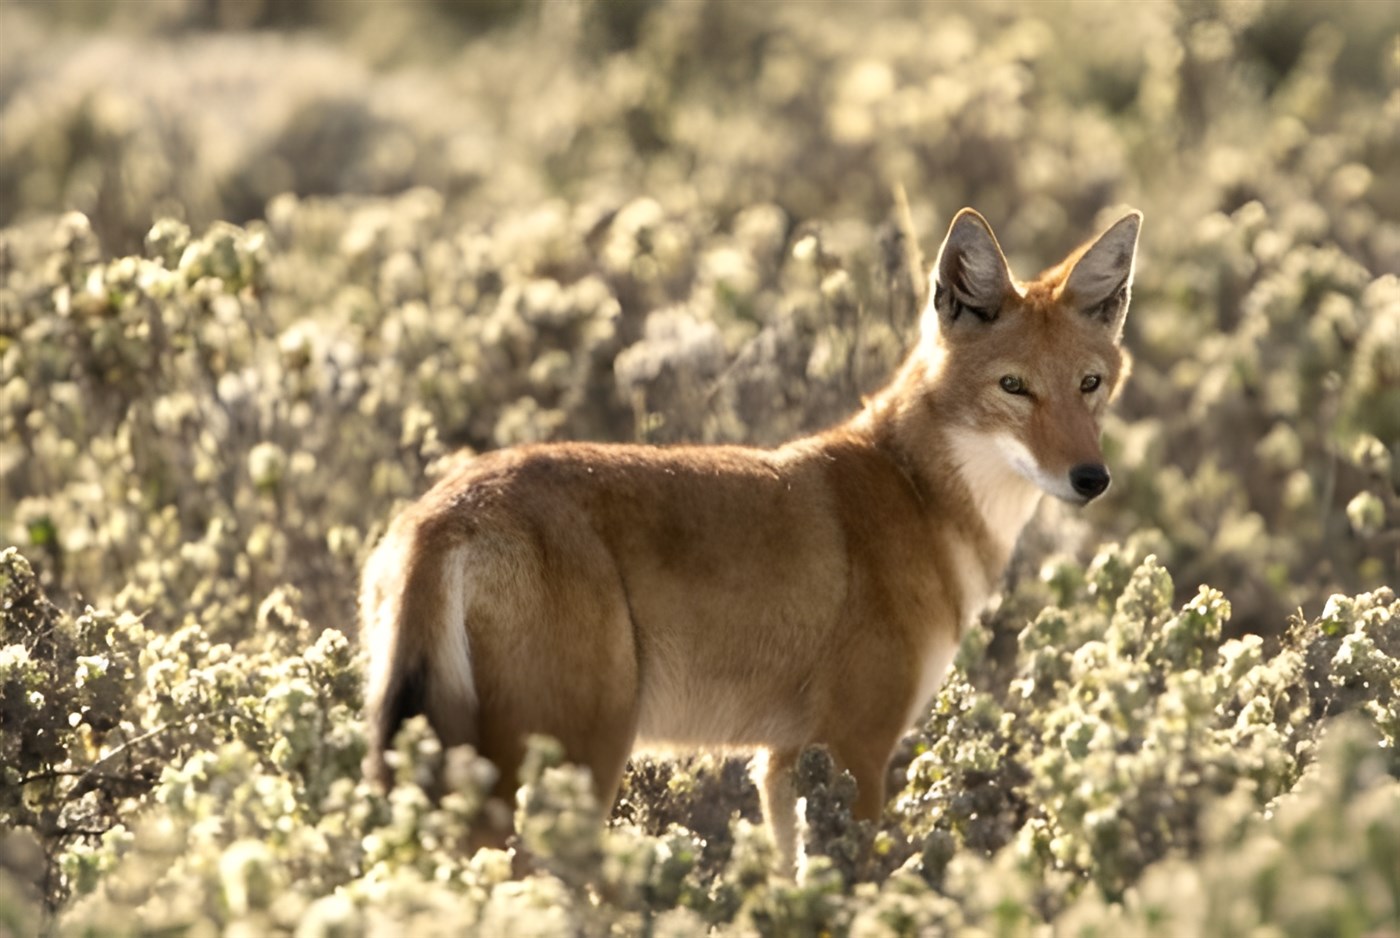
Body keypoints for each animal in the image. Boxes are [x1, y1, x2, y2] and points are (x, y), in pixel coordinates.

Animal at [360, 207, 1141, 870]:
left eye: (1090, 384)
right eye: (1014, 387)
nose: (1092, 479)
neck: (918, 495)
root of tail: (446, 509)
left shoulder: (781, 761)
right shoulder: (858, 748)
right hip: (577, 771)